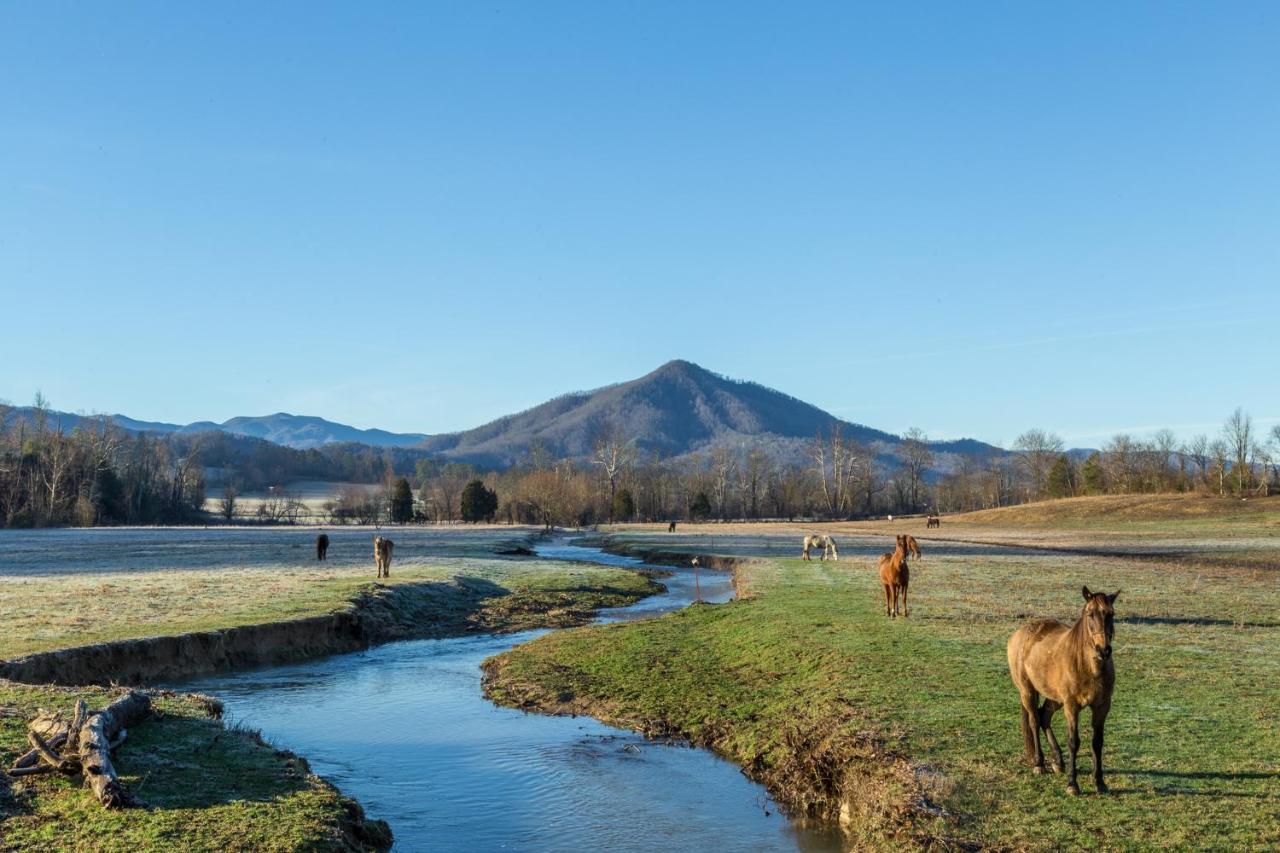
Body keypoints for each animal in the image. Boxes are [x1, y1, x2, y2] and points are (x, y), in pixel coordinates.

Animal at [1008, 584, 1121, 788]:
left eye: (1111, 614)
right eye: (1090, 614)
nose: (1104, 650)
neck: (1088, 667)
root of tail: (1021, 633)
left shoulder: (1102, 707)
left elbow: (1097, 742)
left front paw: (1099, 781)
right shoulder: (1072, 706)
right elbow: (1073, 742)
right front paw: (1072, 784)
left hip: (1055, 697)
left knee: (1044, 716)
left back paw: (1058, 761)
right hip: (1028, 691)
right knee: (1034, 720)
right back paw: (1039, 764)